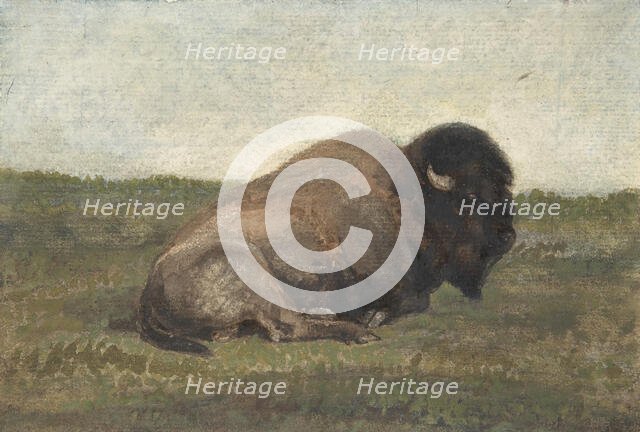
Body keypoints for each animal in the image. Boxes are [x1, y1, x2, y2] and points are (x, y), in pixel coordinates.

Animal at [138, 122, 516, 354]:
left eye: (504, 188)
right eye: (470, 196)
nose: (507, 237)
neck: (408, 198)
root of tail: (150, 281)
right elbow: (415, 301)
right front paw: (372, 319)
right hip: (252, 273)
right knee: (284, 327)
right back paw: (359, 332)